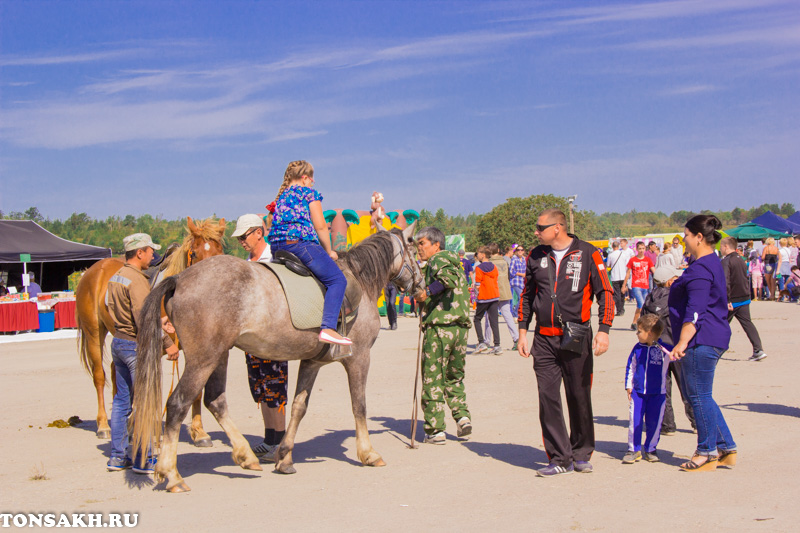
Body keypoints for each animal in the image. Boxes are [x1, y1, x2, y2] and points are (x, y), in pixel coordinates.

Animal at [75, 214, 227, 442]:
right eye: (194, 252)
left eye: (221, 252)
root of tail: (92, 270)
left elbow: (196, 390)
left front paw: (199, 432)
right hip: (94, 332)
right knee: (99, 376)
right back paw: (103, 424)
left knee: (115, 372)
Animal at [131, 223, 424, 490]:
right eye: (415, 250)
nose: (420, 287)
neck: (359, 280)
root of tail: (180, 279)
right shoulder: (359, 358)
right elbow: (359, 405)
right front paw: (368, 452)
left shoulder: (312, 363)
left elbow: (298, 407)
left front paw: (284, 457)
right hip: (203, 360)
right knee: (177, 403)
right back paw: (172, 474)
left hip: (218, 356)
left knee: (215, 400)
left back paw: (245, 455)